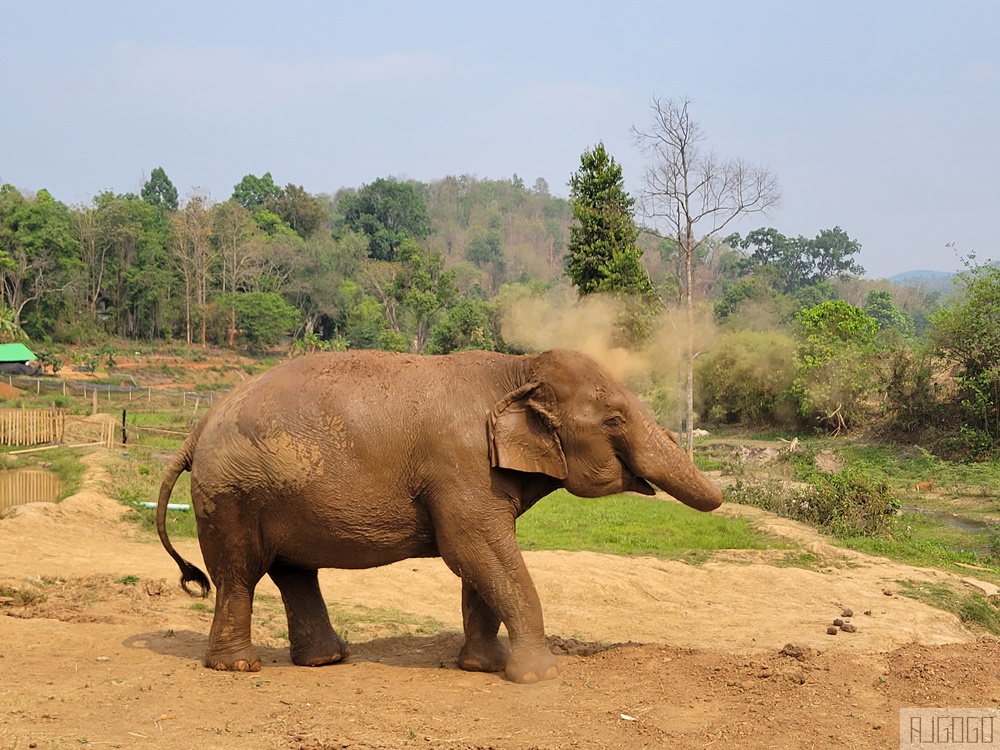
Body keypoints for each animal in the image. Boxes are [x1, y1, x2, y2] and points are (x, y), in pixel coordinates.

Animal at [157, 348, 722, 683]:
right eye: (614, 420)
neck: (514, 367)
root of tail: (200, 423)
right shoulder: (460, 466)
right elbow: (475, 549)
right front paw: (539, 676)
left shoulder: (477, 477)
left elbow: (482, 560)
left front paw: (481, 667)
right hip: (231, 495)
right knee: (239, 575)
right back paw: (240, 666)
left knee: (295, 573)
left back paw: (326, 660)